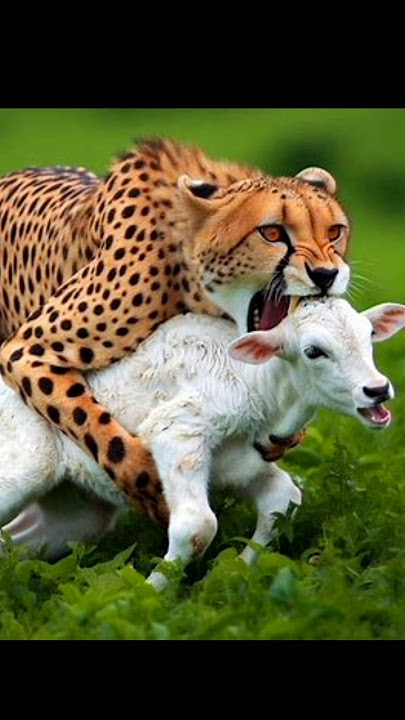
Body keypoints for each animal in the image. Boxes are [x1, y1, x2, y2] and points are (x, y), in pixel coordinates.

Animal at [0, 138, 351, 523]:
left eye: (334, 232)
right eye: (271, 232)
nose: (326, 274)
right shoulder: (25, 350)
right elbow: (91, 422)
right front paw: (152, 488)